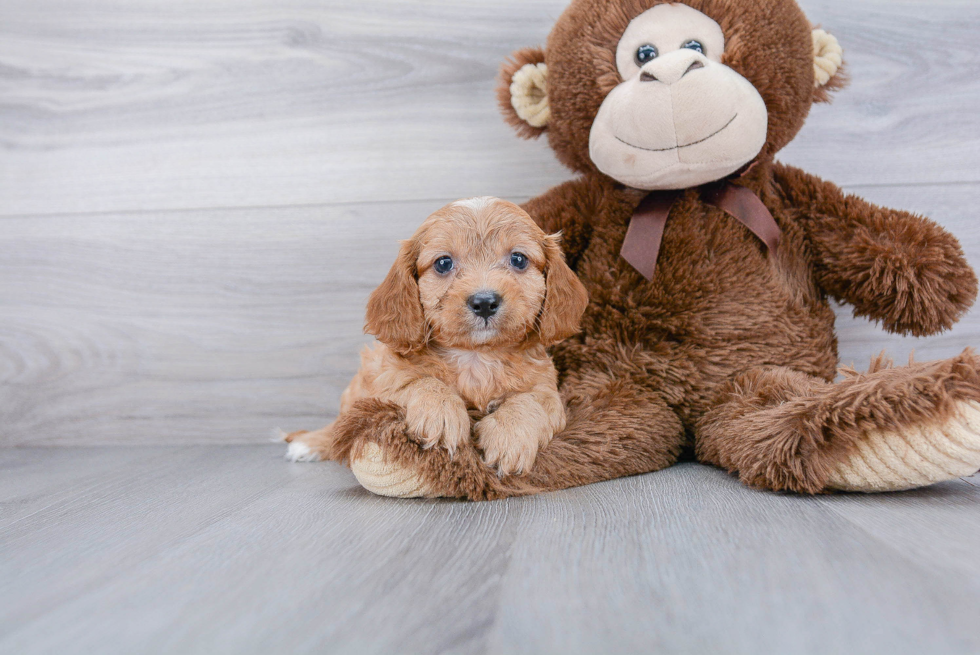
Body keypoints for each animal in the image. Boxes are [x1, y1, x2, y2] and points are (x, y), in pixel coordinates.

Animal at [286, 196, 588, 476]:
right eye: (443, 263)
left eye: (518, 259)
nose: (484, 302)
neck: (476, 357)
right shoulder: (384, 378)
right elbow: (419, 381)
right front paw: (441, 413)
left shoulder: (549, 393)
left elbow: (530, 401)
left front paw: (510, 435)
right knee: (340, 422)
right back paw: (310, 443)